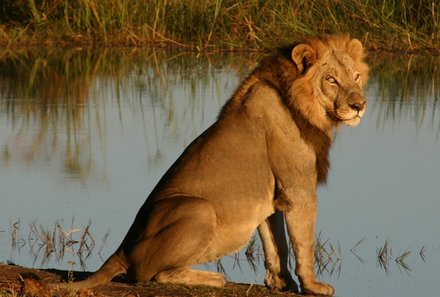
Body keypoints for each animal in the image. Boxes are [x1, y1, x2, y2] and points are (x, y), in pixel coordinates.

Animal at [49, 34, 370, 294]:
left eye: (356, 76)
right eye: (331, 80)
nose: (359, 106)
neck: (303, 106)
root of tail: (122, 248)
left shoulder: (272, 197)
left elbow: (274, 242)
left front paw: (281, 283)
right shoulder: (299, 190)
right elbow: (303, 244)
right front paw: (313, 286)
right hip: (200, 209)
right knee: (151, 274)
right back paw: (214, 278)